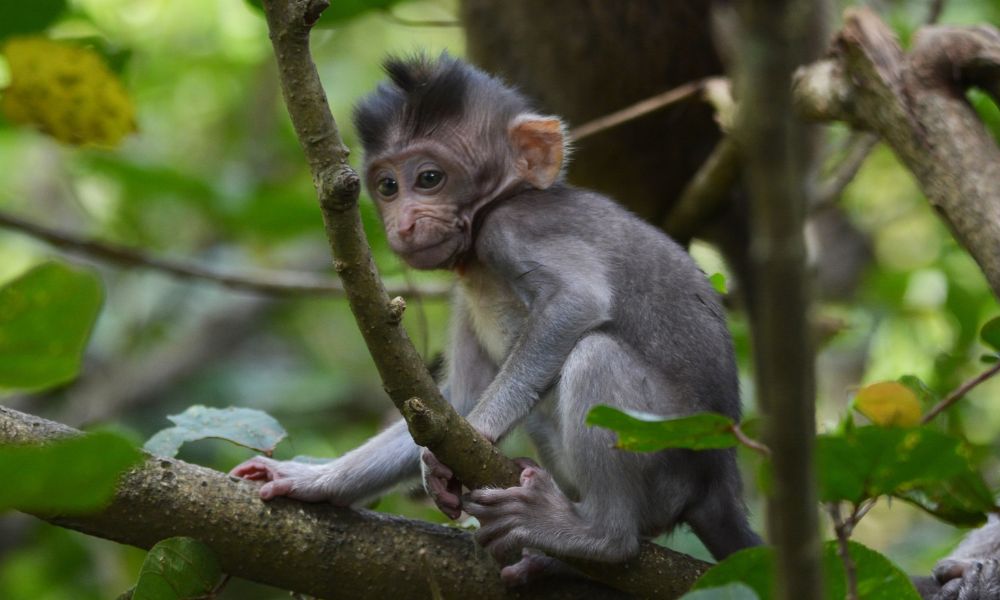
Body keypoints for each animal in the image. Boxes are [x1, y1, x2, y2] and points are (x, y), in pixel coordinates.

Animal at [230, 53, 762, 584]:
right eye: (387, 186)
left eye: (429, 179)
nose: (404, 223)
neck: (494, 212)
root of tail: (719, 481)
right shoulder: (465, 295)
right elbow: (452, 405)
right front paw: (315, 479)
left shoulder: (513, 228)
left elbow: (577, 301)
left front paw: (482, 430)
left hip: (668, 452)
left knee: (595, 354)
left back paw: (599, 535)